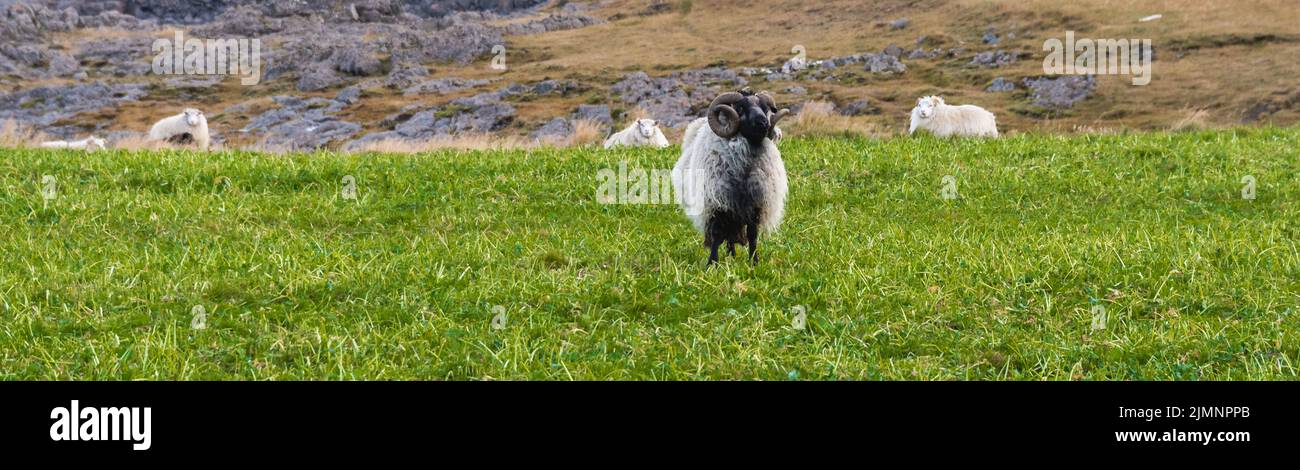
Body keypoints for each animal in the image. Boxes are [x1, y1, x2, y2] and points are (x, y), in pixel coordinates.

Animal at [670, 88, 790, 264]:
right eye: (740, 108)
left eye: (765, 108)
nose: (764, 123)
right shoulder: (717, 204)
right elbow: (717, 234)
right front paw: (712, 263)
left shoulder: (756, 204)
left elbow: (752, 235)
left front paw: (754, 262)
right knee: (725, 236)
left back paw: (732, 255)